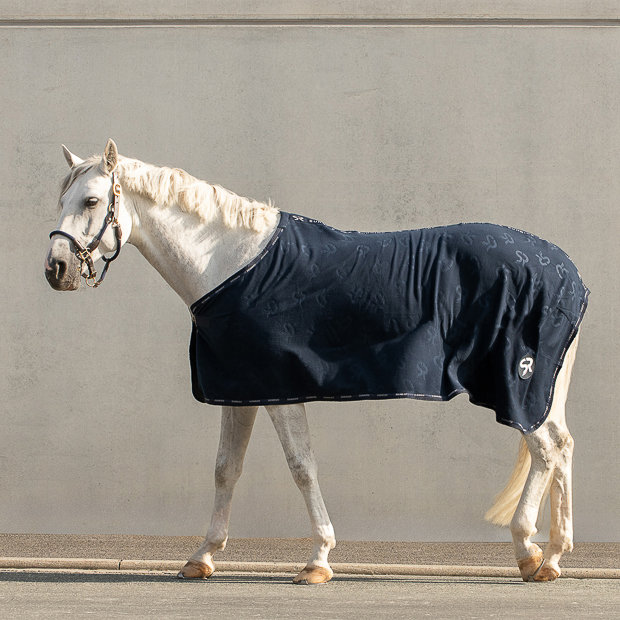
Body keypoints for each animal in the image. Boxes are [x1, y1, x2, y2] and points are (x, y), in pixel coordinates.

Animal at [43, 138, 588, 584]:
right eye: (61, 201)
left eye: (91, 201)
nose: (56, 268)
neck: (231, 263)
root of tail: (566, 271)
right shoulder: (241, 388)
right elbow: (225, 469)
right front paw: (202, 557)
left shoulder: (280, 389)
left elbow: (302, 467)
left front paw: (318, 561)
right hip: (541, 390)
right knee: (562, 447)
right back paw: (555, 555)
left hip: (518, 385)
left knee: (545, 451)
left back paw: (528, 553)